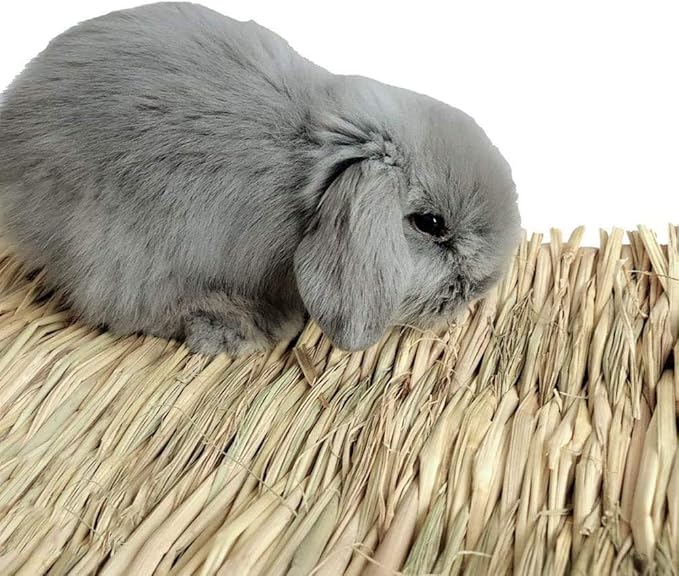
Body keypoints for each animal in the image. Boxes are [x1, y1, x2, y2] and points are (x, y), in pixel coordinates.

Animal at [0, 2, 521, 356]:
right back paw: (239, 325)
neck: (315, 168)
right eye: (430, 224)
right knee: (125, 306)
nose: (482, 288)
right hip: (115, 248)